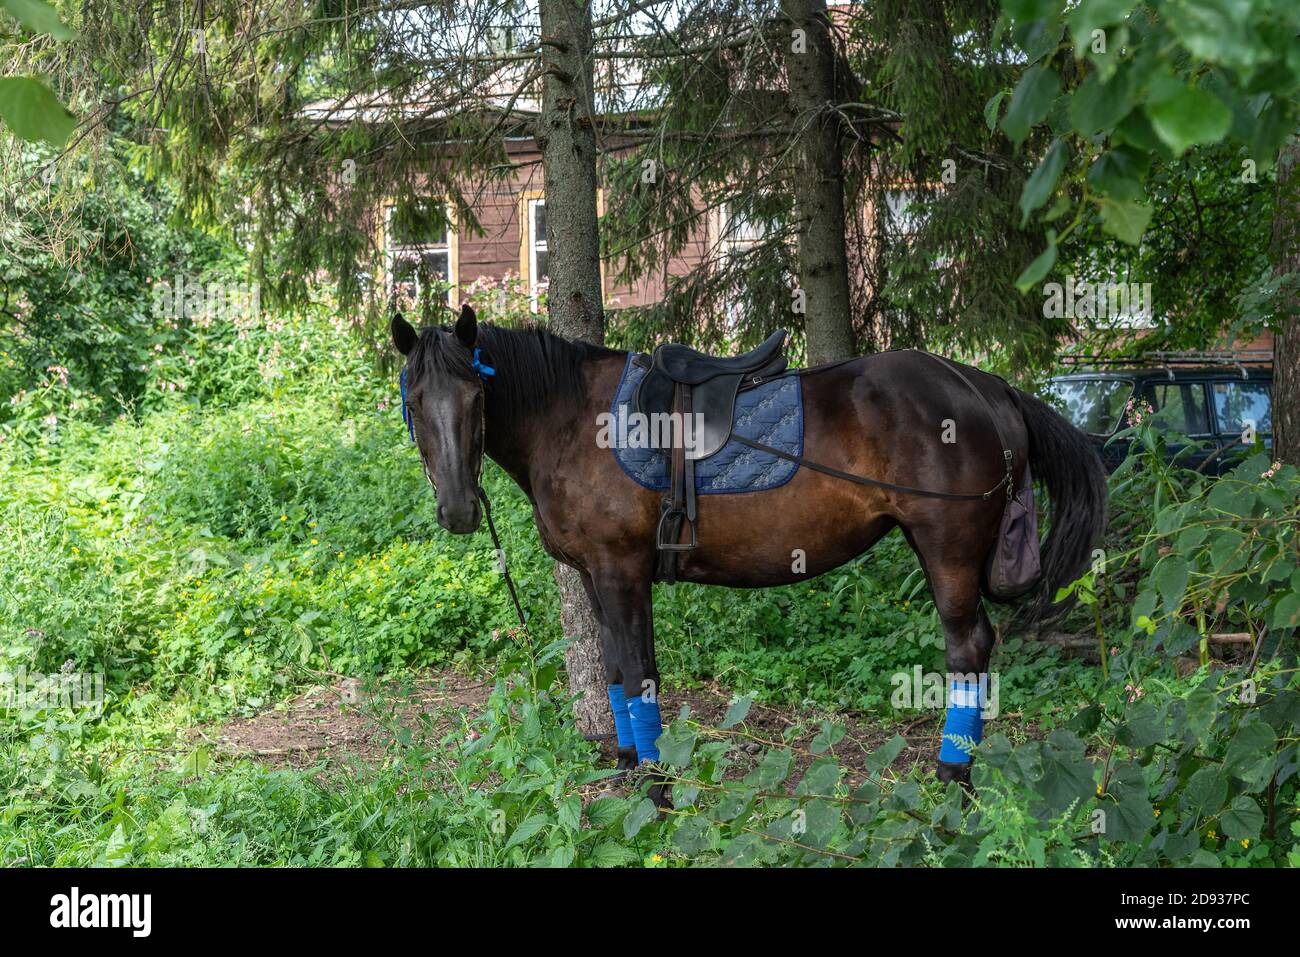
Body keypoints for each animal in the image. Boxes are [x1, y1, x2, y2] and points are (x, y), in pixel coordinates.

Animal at [390, 306, 1102, 800]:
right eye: (415, 401)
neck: (572, 420)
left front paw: (656, 791)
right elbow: (617, 673)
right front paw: (629, 770)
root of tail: (985, 384)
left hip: (947, 550)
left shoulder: (623, 571)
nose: (457, 509)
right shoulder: (594, 575)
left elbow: (639, 671)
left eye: (476, 397)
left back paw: (954, 778)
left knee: (967, 650)